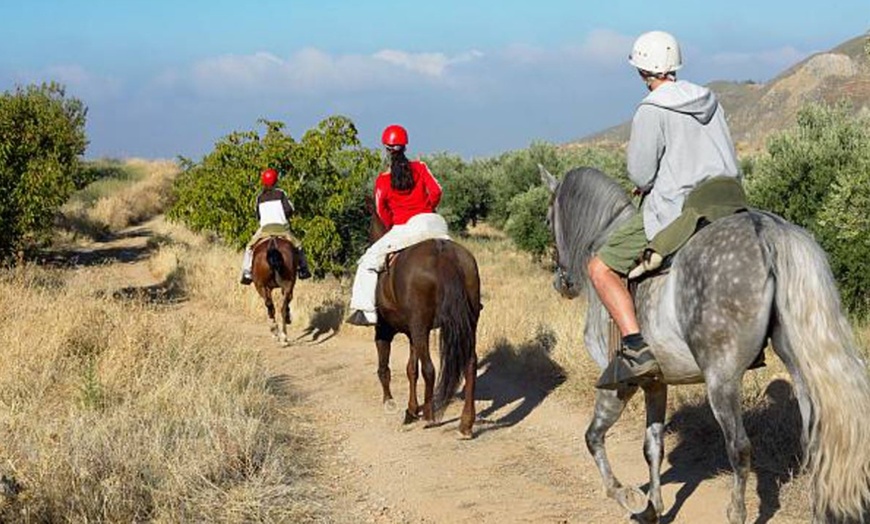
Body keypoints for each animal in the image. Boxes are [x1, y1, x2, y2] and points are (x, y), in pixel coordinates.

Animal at [370, 209, 484, 438]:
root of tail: (443, 254)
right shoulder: (412, 333)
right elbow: (411, 369)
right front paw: (411, 409)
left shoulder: (385, 330)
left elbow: (386, 367)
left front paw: (391, 402)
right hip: (467, 324)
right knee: (470, 364)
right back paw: (466, 423)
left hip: (420, 326)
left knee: (430, 369)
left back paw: (430, 416)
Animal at [540, 167, 870, 524]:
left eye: (548, 218)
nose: (562, 283)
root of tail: (765, 230)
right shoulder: (655, 383)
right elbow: (652, 446)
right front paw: (653, 507)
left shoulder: (618, 383)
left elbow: (593, 437)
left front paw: (629, 497)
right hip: (798, 366)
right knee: (813, 441)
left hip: (721, 379)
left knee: (739, 448)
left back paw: (736, 513)